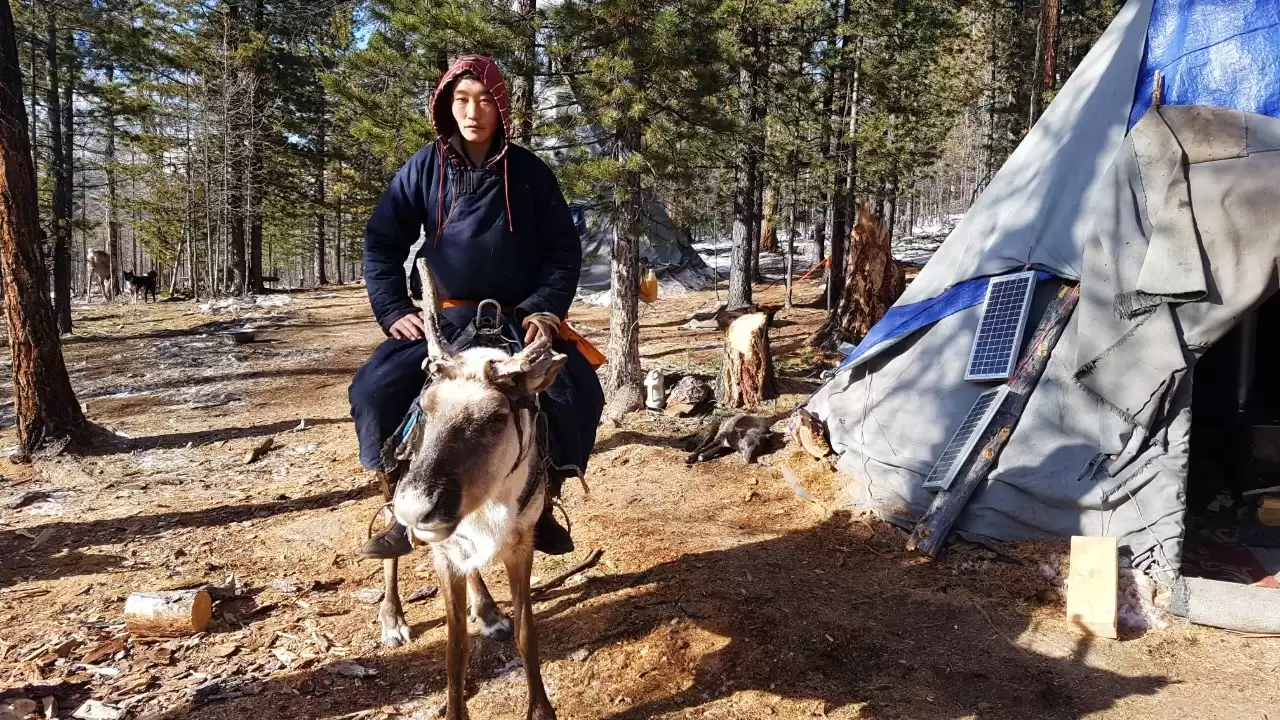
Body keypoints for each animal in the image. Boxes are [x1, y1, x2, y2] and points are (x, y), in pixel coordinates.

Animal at [378, 257, 566, 720]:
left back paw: (487, 610)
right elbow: (455, 647)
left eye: (497, 417)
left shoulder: (520, 540)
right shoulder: (441, 550)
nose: (416, 510)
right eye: (424, 408)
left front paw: (540, 709)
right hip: (387, 484)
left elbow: (527, 633)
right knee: (391, 551)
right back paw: (393, 619)